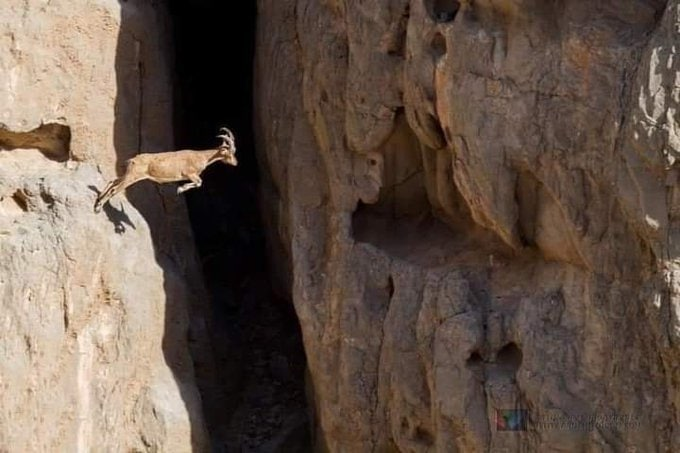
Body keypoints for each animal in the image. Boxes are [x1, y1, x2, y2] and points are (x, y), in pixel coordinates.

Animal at [94, 127, 237, 213]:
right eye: (230, 152)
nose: (236, 163)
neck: (202, 157)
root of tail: (133, 159)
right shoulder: (189, 174)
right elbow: (199, 182)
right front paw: (180, 189)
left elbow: (199, 183)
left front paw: (180, 189)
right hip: (132, 177)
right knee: (114, 189)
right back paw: (98, 208)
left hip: (129, 175)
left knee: (112, 181)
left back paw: (98, 201)